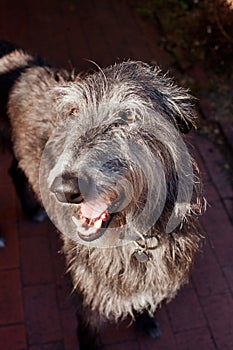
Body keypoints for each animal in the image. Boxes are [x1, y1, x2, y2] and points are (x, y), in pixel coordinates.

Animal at [0, 40, 204, 348]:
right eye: (73, 111)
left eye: (129, 115)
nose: (63, 189)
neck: (134, 235)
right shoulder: (90, 297)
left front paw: (146, 318)